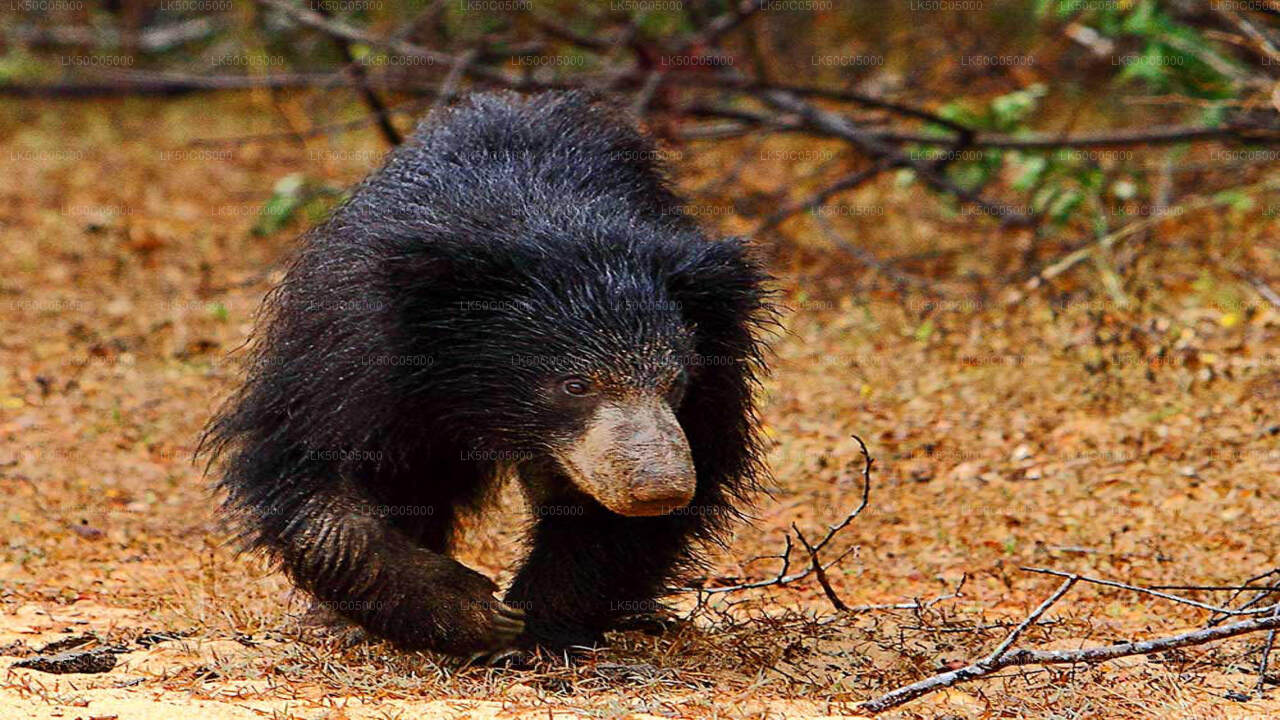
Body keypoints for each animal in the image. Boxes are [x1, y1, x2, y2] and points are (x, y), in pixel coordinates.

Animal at [202, 90, 768, 655]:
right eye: (574, 385)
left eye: (675, 383)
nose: (658, 490)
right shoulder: (354, 358)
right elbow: (314, 475)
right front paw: (473, 612)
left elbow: (619, 516)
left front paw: (532, 623)